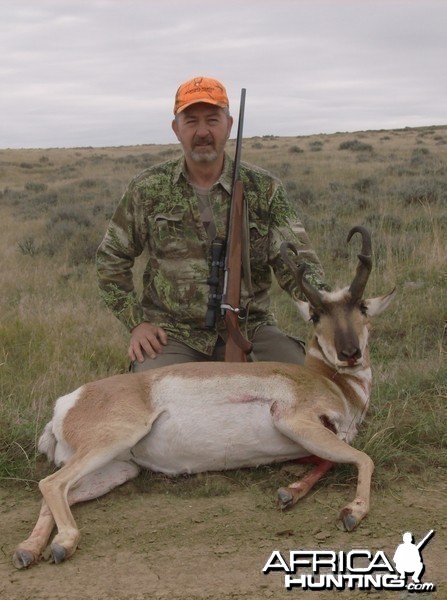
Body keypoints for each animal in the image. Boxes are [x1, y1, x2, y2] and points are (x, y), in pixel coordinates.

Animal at [12, 224, 394, 568]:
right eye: (315, 315)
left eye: (362, 307)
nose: (349, 353)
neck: (331, 382)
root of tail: (67, 403)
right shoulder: (296, 421)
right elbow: (363, 459)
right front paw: (352, 512)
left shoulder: (314, 440)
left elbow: (327, 462)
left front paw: (290, 491)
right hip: (112, 442)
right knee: (52, 484)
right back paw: (64, 542)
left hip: (119, 468)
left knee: (58, 493)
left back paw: (30, 550)